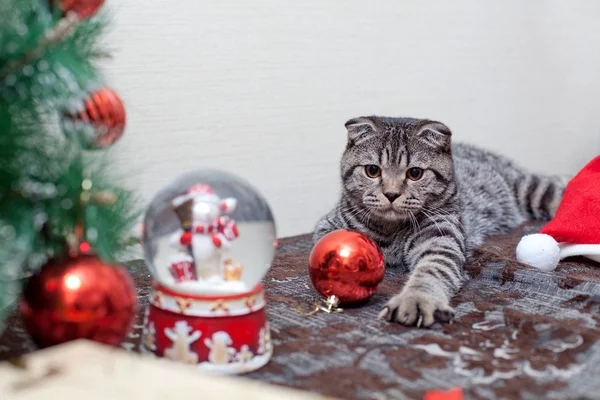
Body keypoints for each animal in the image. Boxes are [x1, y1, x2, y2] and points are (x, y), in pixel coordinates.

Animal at [314, 115, 568, 328]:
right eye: (372, 170)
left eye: (415, 173)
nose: (391, 194)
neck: (390, 230)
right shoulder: (328, 227)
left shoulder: (440, 235)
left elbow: (432, 269)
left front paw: (415, 299)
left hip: (535, 192)